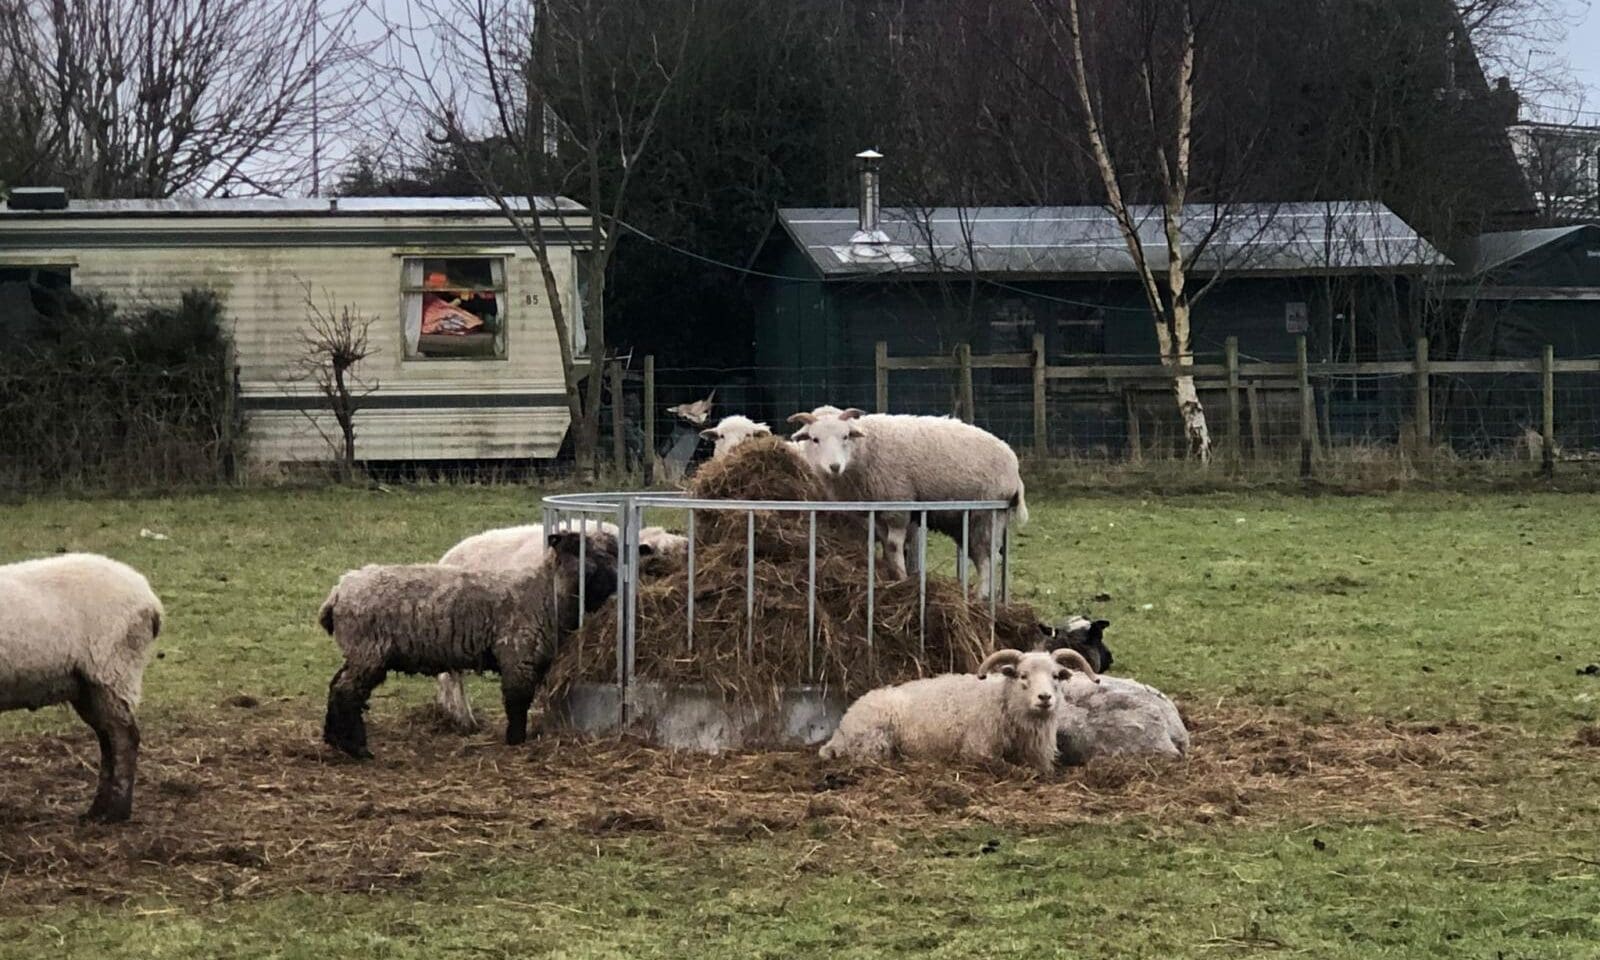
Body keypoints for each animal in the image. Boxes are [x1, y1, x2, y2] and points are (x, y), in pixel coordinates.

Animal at [0, 553, 162, 822]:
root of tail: (149, 597)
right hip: (87, 686)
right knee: (107, 739)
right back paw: (96, 810)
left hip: (113, 671)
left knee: (124, 738)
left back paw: (116, 812)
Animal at [319, 530, 646, 759]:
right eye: (585, 551)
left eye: (615, 551)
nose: (622, 583)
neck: (542, 593)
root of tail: (337, 592)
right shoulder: (517, 656)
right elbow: (517, 701)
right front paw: (516, 740)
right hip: (368, 651)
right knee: (346, 692)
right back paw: (356, 748)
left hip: (359, 653)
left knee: (336, 686)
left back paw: (333, 740)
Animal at [788, 408, 1027, 594]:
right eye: (814, 439)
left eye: (846, 436)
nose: (835, 466)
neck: (865, 451)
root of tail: (1014, 465)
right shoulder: (878, 513)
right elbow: (887, 547)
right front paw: (893, 575)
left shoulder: (898, 505)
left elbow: (895, 546)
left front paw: (902, 581)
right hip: (963, 521)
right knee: (981, 556)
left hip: (986, 514)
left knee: (988, 559)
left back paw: (981, 597)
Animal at [818, 648, 1099, 773]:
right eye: (1023, 676)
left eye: (1056, 676)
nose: (1045, 698)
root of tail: (840, 728)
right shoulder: (977, 751)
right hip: (873, 740)